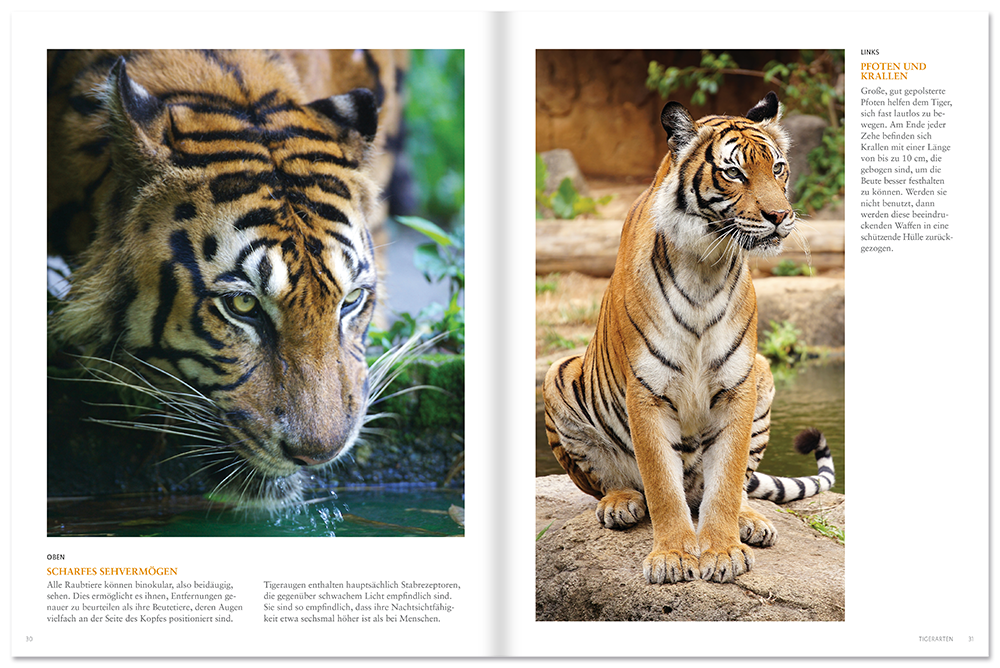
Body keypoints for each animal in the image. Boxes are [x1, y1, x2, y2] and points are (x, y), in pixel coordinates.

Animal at [543, 92, 836, 584]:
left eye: (777, 168)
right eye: (734, 173)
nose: (780, 216)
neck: (707, 265)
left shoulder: (738, 385)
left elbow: (728, 481)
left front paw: (722, 551)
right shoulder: (646, 391)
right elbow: (662, 485)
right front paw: (674, 556)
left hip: (764, 373)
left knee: (735, 486)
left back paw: (750, 520)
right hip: (556, 374)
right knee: (612, 482)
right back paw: (620, 504)